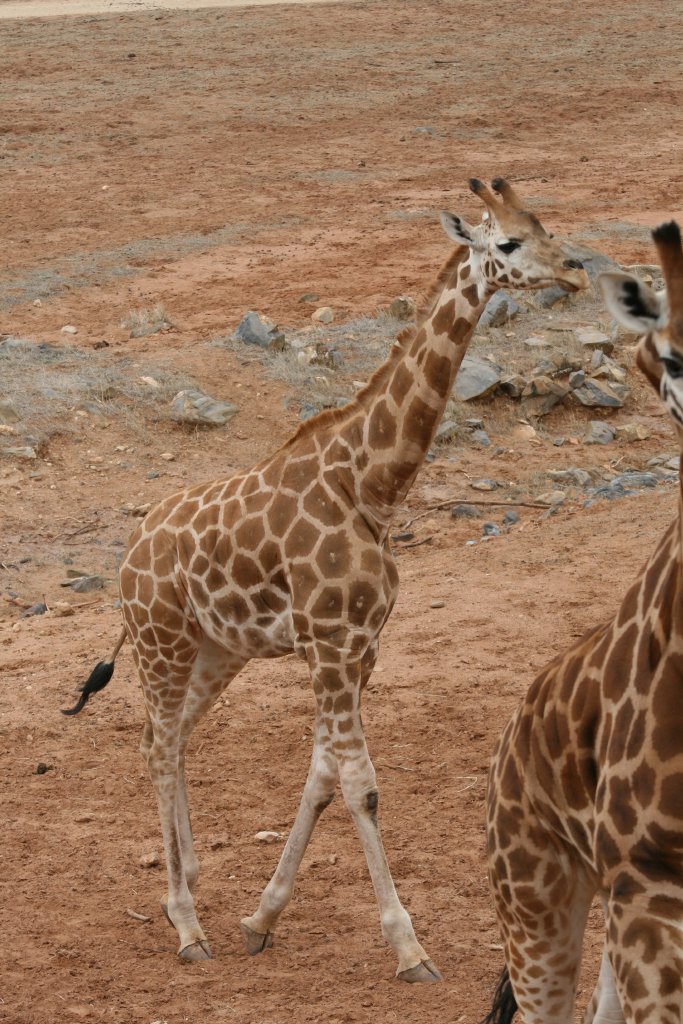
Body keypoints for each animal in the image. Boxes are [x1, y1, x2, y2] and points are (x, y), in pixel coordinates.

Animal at [63, 178, 587, 979]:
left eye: (545, 226)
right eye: (507, 242)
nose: (576, 271)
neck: (371, 483)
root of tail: (127, 554)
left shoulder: (359, 646)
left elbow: (320, 775)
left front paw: (261, 917)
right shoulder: (333, 643)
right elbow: (359, 786)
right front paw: (408, 946)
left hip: (217, 650)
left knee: (172, 738)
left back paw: (190, 888)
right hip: (163, 642)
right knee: (156, 743)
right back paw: (185, 923)